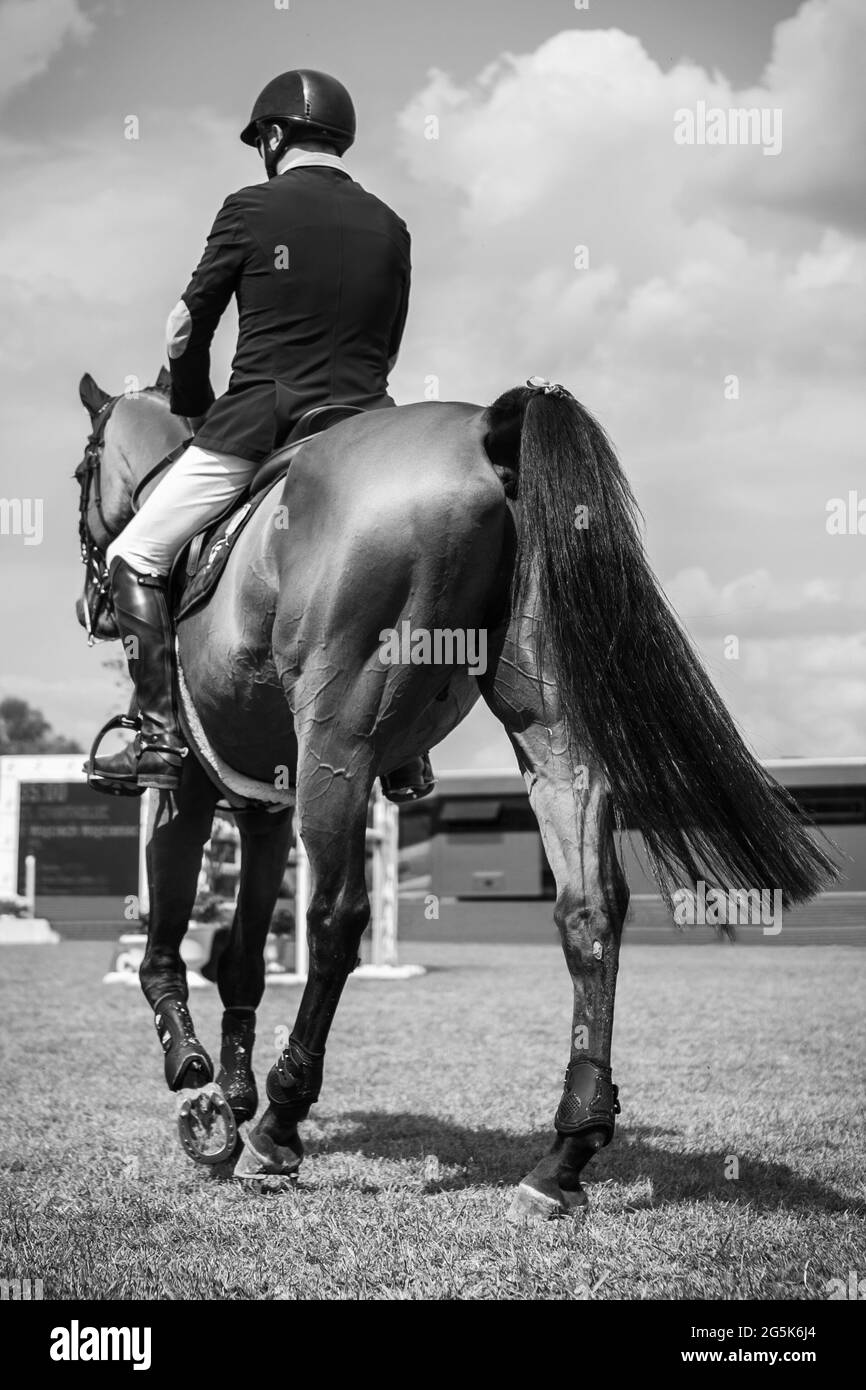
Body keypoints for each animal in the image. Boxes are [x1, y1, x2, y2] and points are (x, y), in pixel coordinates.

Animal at [74, 368, 836, 1217]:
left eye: (81, 471)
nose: (89, 604)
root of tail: (483, 429)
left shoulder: (193, 787)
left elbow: (169, 942)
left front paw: (201, 1086)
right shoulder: (261, 802)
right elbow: (240, 955)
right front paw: (229, 1093)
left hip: (337, 744)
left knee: (338, 919)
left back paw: (280, 1127)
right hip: (549, 728)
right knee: (589, 909)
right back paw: (564, 1156)